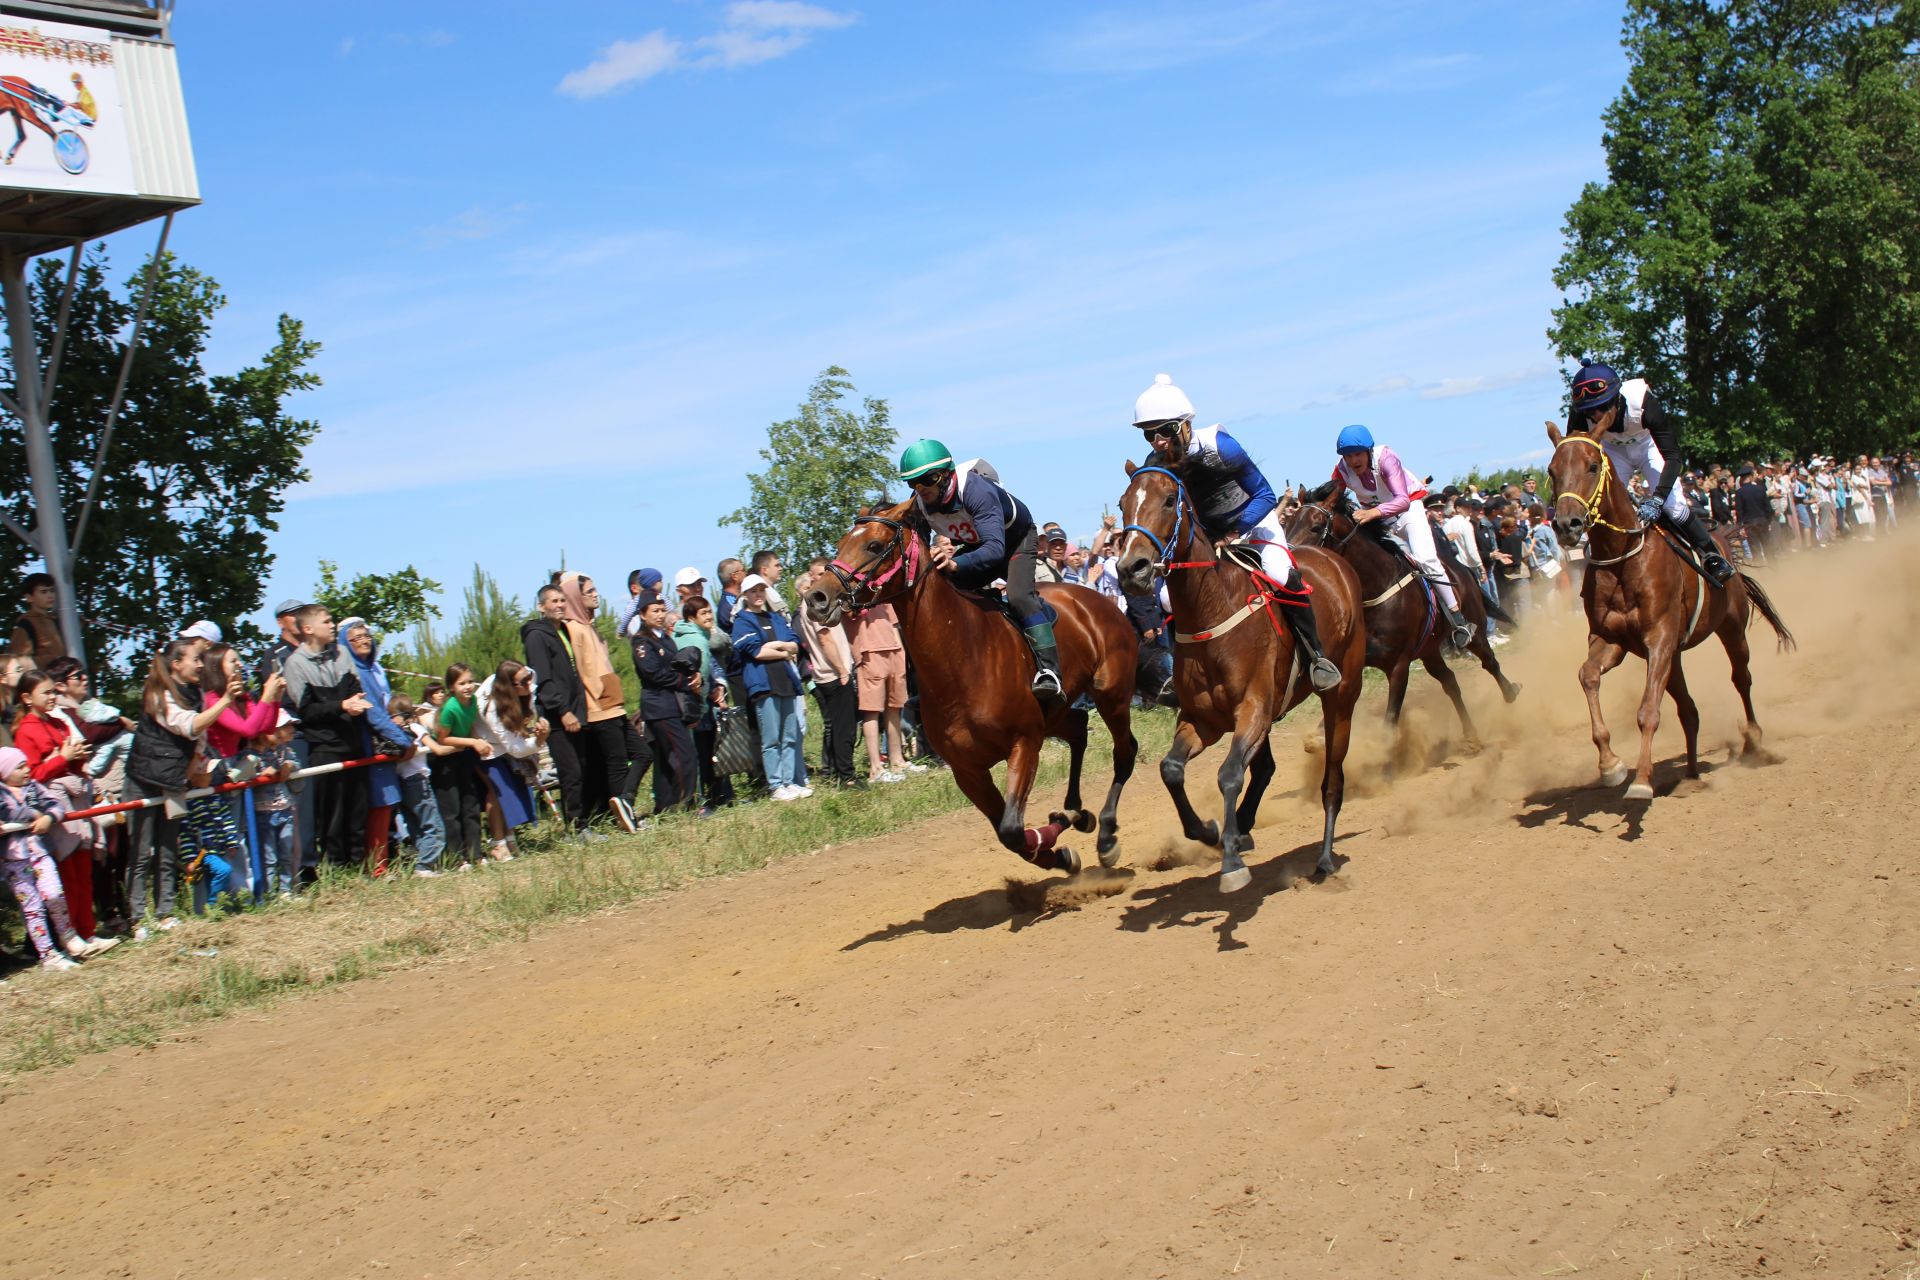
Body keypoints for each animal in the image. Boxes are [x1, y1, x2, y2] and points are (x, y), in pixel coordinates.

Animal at [806, 498, 1136, 871]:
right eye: (841, 543)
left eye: (874, 545)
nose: (816, 597)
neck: (961, 660)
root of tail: (1100, 601)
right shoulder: (967, 771)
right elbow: (1010, 836)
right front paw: (1059, 848)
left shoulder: (1025, 742)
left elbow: (1012, 829)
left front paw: (1056, 837)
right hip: (1058, 712)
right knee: (1079, 729)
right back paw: (1076, 811)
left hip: (1111, 695)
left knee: (1124, 753)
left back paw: (1106, 834)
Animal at [1113, 460, 1367, 890]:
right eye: (1122, 502)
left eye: (1168, 499)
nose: (1131, 568)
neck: (1211, 609)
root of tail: (1334, 561)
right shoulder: (1204, 719)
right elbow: (1171, 770)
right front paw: (1210, 831)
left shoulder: (1254, 708)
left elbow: (1230, 773)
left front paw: (1231, 862)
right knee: (1264, 768)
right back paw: (1243, 827)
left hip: (1343, 693)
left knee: (1332, 778)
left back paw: (1324, 857)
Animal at [1282, 483, 1520, 752]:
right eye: (1287, 525)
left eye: (1315, 526)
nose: (1291, 562)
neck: (1376, 589)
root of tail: (1464, 569)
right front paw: (1317, 739)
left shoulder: (1399, 665)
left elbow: (1389, 722)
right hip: (1429, 649)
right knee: (1450, 681)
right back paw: (1471, 734)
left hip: (1474, 628)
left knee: (1489, 661)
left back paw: (1510, 692)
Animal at [1543, 422, 1797, 802]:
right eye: (1552, 471)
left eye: (1592, 466)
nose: (1566, 525)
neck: (1621, 558)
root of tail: (1724, 540)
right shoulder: (1614, 641)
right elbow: (1587, 675)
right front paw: (1610, 765)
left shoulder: (1659, 637)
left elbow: (1648, 710)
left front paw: (1641, 779)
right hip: (1674, 658)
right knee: (1689, 710)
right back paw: (1691, 773)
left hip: (1730, 627)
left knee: (1741, 678)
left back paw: (1753, 741)